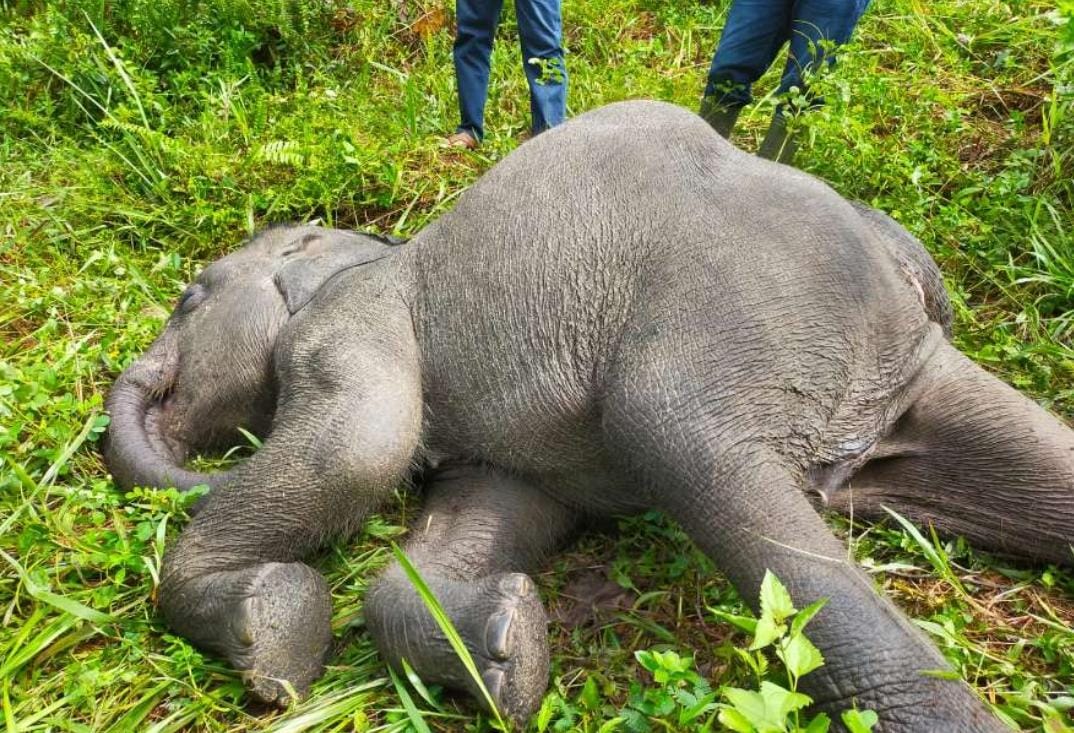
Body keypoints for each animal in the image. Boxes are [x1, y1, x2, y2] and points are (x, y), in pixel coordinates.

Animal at [102, 99, 1074, 726]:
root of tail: (903, 278)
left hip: (729, 330)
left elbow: (359, 448)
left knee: (694, 454)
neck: (375, 247)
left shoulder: (351, 323)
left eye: (191, 297)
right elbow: (469, 530)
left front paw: (270, 651)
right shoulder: (506, 456)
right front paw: (505, 653)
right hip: (905, 364)